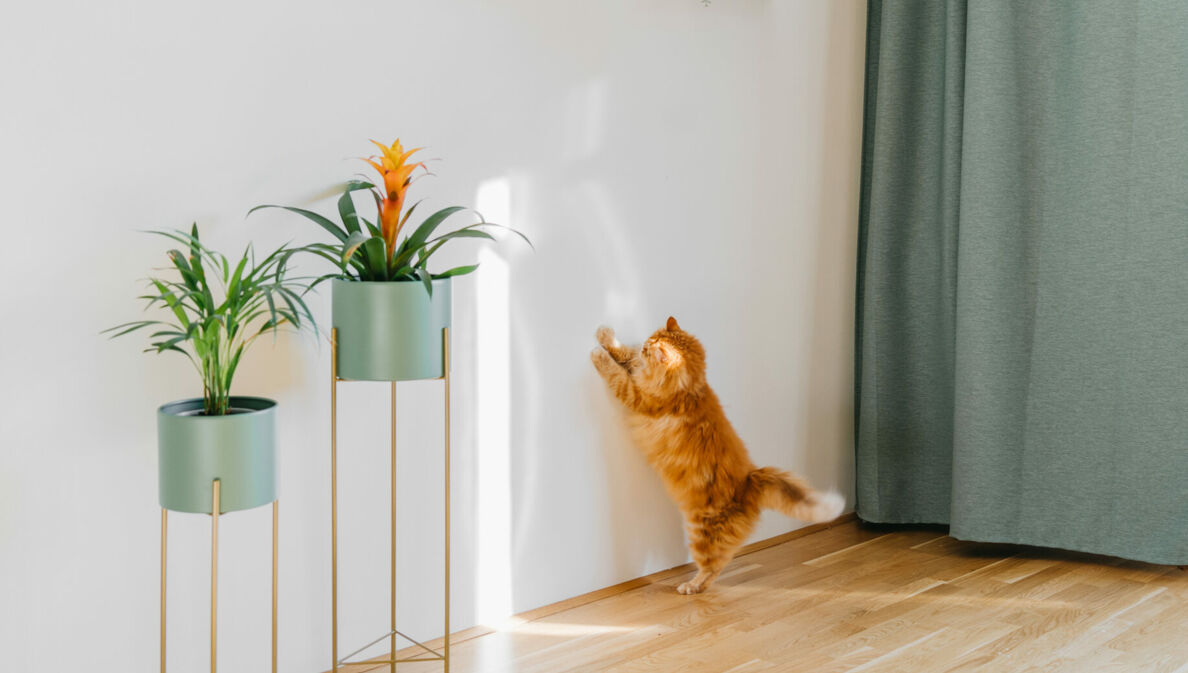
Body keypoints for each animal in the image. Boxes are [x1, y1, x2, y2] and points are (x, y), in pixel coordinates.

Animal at [589, 318, 841, 596]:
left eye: (649, 349)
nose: (644, 347)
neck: (691, 388)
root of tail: (750, 482)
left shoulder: (638, 396)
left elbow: (616, 374)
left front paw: (599, 353)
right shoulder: (639, 376)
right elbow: (625, 355)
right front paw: (607, 336)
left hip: (702, 533)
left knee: (713, 567)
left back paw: (690, 586)